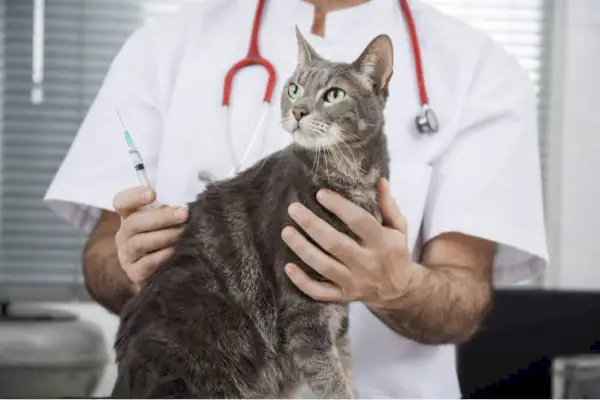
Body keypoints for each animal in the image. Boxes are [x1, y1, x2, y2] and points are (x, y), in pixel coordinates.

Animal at [112, 26, 394, 398]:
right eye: (294, 88)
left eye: (334, 95)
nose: (299, 111)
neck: (350, 178)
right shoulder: (304, 311)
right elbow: (331, 380)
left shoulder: (338, 309)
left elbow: (344, 369)